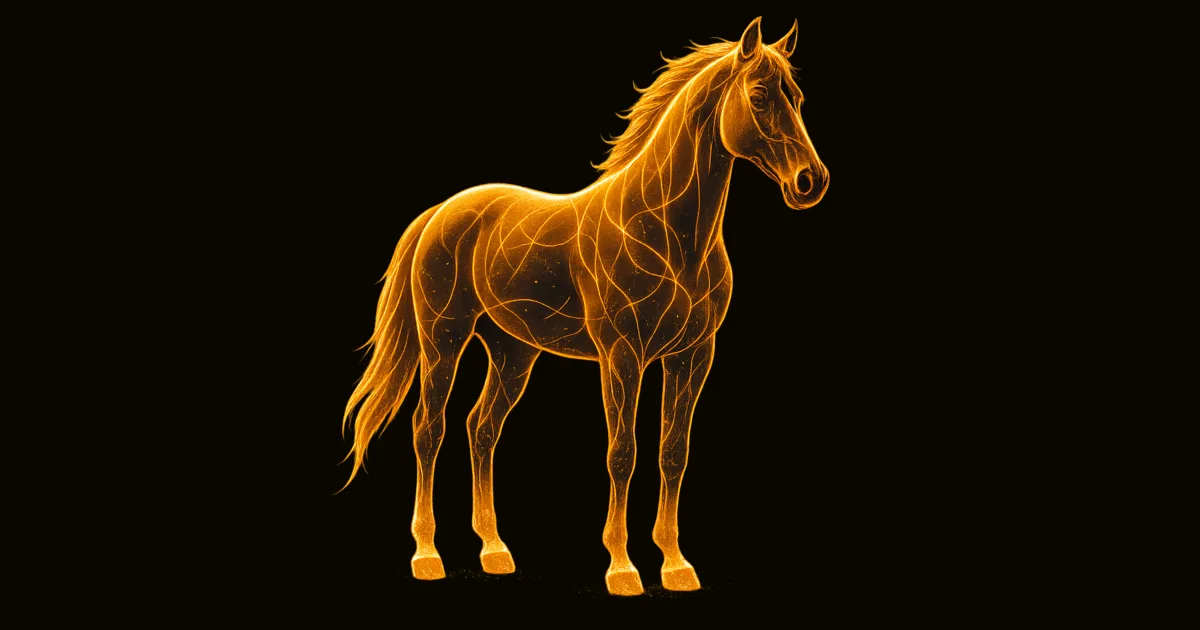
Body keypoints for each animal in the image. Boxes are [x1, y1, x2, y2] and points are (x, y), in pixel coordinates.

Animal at [340, 17, 830, 596]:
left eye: (797, 97)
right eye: (758, 96)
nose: (811, 182)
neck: (668, 233)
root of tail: (441, 211)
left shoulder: (692, 357)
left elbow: (673, 454)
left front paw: (675, 564)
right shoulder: (622, 356)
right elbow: (622, 454)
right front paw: (622, 568)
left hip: (512, 353)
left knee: (481, 430)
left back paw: (495, 550)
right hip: (444, 340)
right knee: (428, 431)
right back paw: (427, 555)